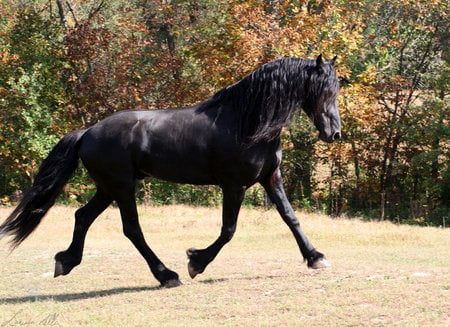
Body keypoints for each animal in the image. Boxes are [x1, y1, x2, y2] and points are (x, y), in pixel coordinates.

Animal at [0, 55, 342, 288]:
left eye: (335, 90)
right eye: (323, 90)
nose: (334, 133)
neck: (246, 122)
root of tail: (88, 132)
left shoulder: (271, 178)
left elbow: (290, 218)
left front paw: (316, 257)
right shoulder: (234, 186)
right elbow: (228, 230)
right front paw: (196, 262)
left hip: (108, 188)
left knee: (83, 217)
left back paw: (66, 261)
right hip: (122, 187)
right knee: (132, 229)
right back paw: (167, 275)